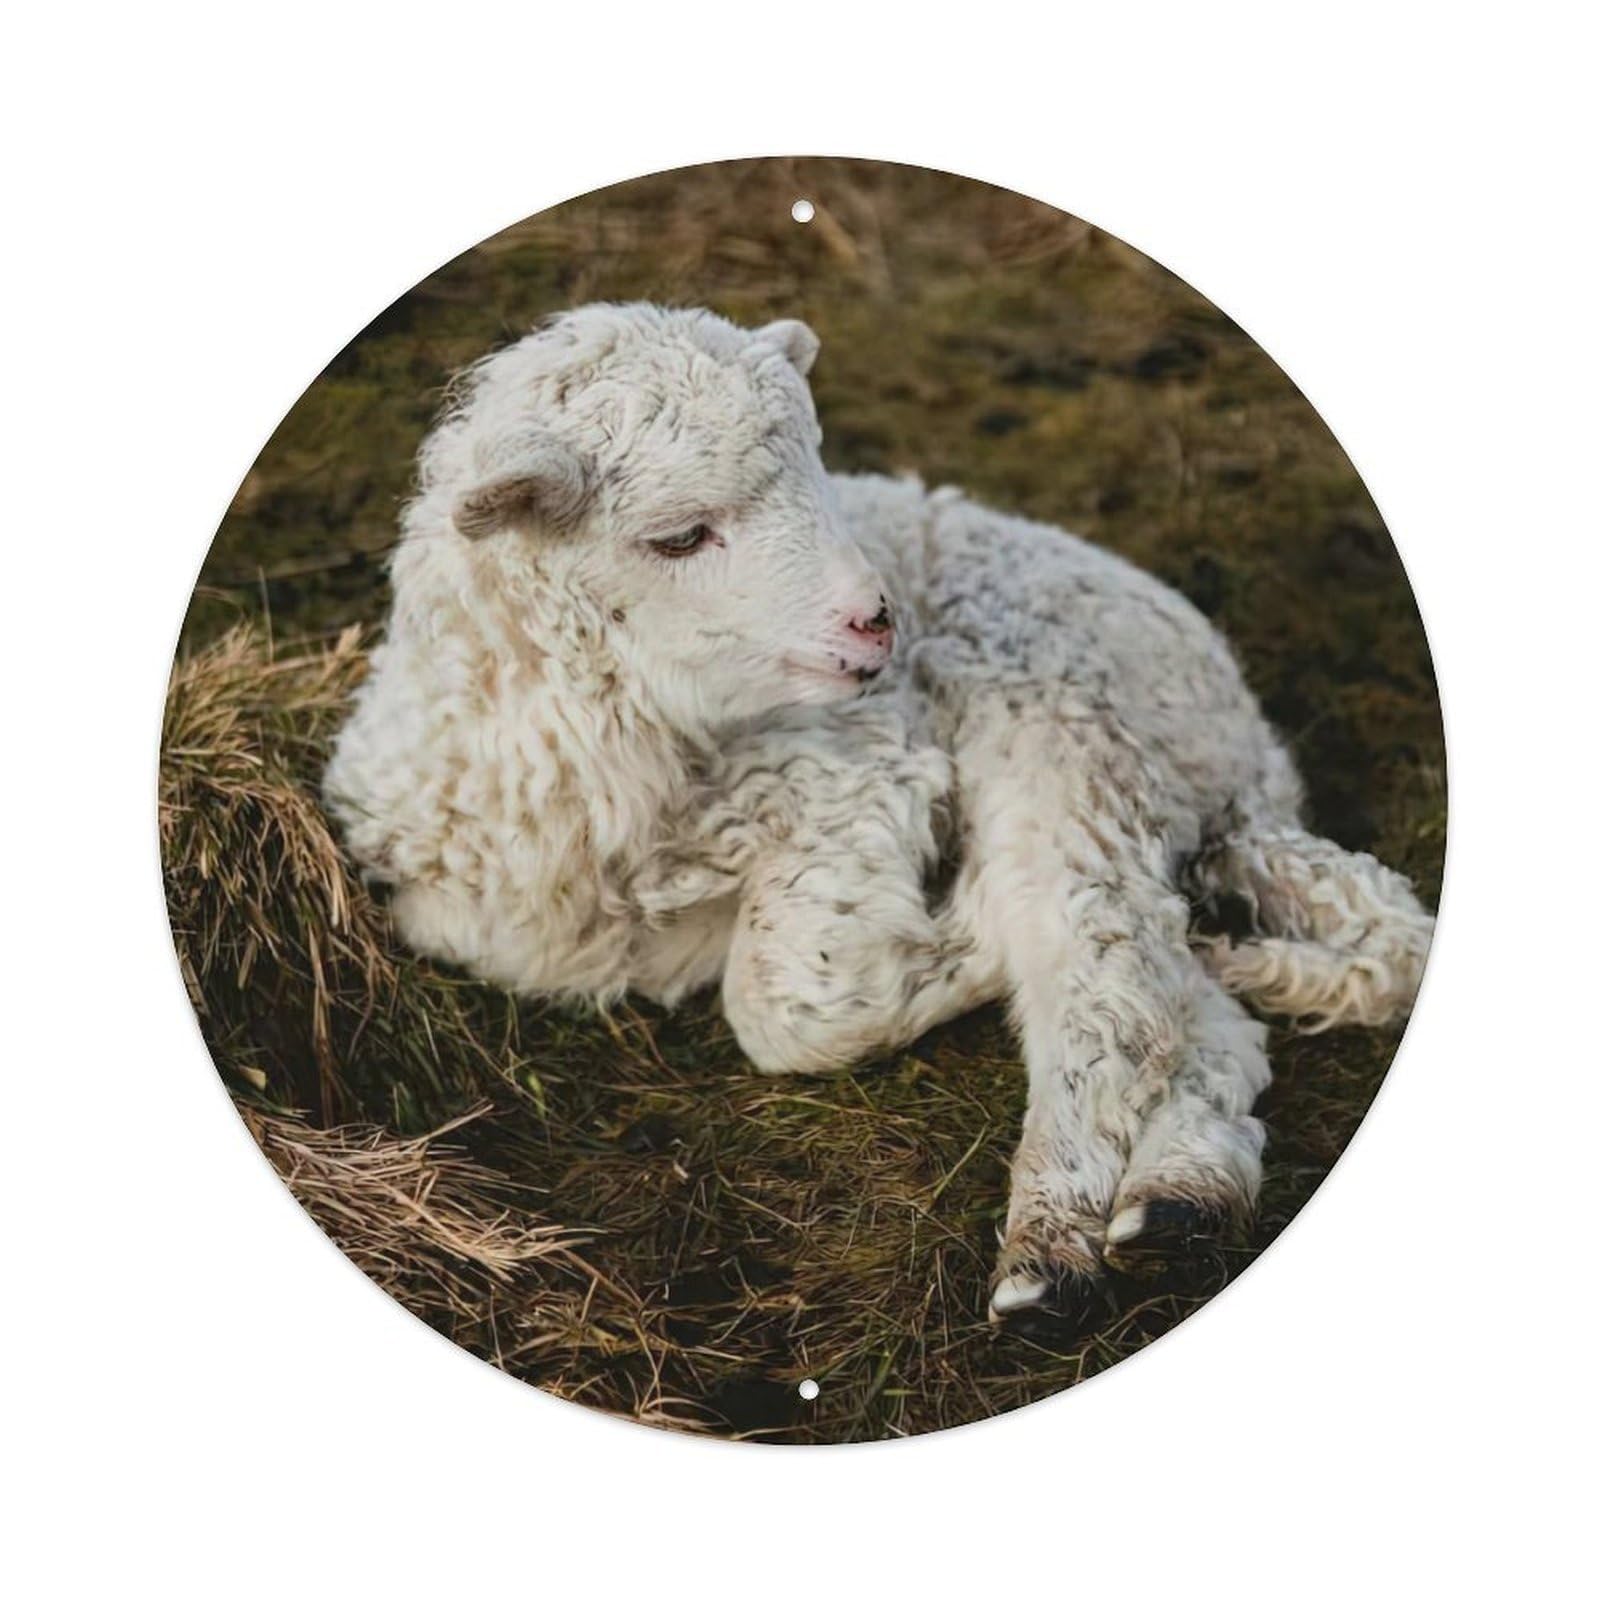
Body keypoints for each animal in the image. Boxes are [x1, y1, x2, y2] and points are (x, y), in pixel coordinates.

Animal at [325, 302, 1434, 1323]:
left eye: (820, 475)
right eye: (678, 537)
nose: (875, 620)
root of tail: (1245, 762)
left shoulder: (855, 772)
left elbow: (784, 1008)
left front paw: (963, 934)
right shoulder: (470, 915)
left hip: (1065, 719)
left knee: (1099, 966)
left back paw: (1052, 1250)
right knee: (1193, 1008)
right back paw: (1180, 1201)